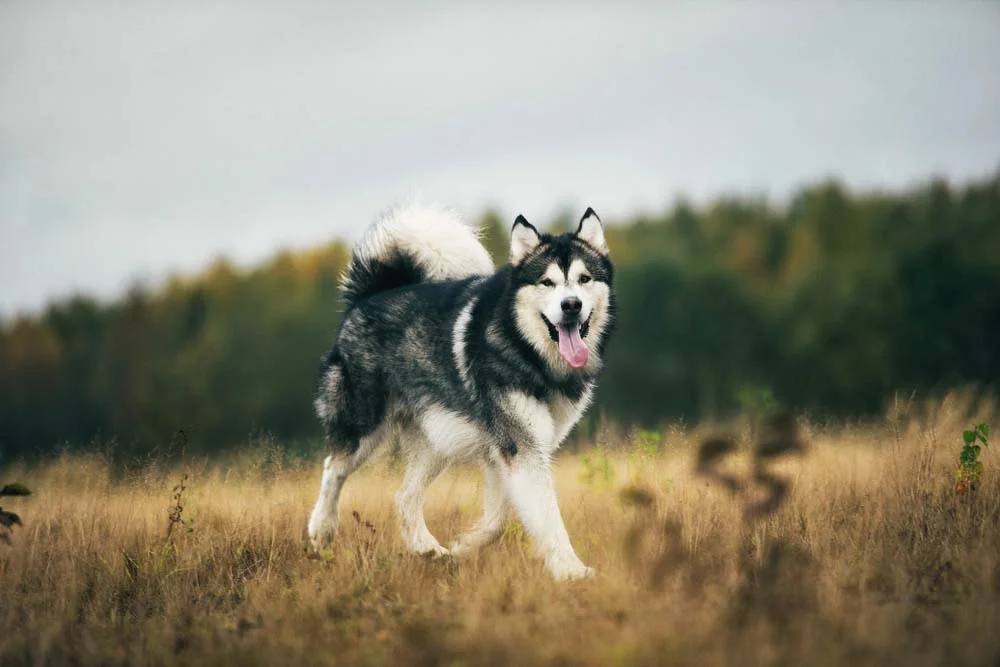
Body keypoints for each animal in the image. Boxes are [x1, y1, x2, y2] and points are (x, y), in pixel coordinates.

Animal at [308, 202, 612, 580]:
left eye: (585, 279)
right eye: (547, 282)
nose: (571, 305)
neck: (527, 352)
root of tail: (371, 295)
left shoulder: (508, 453)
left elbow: (498, 520)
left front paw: (464, 547)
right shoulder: (522, 449)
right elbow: (547, 518)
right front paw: (572, 571)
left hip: (439, 438)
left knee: (404, 497)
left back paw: (427, 548)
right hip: (365, 428)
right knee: (333, 467)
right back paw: (321, 530)